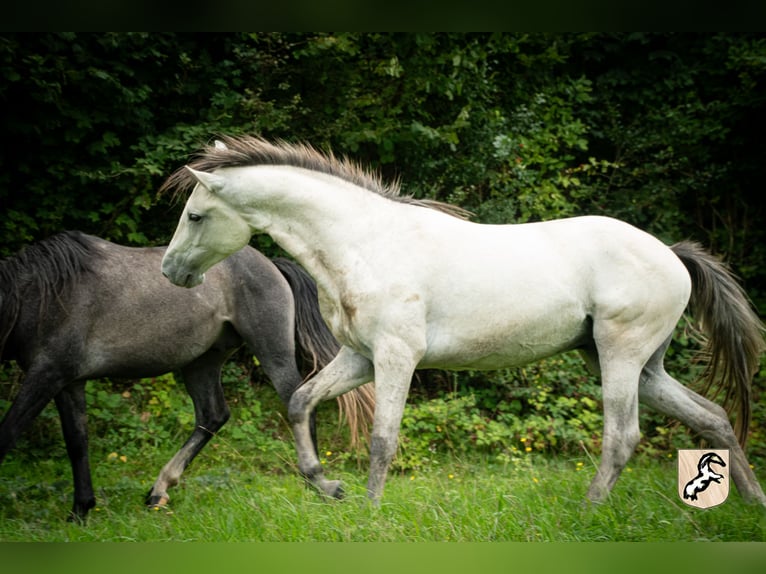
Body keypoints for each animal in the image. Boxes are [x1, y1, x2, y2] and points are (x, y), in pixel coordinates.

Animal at [0, 232, 376, 524]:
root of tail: (269, 263)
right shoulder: (68, 382)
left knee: (298, 404)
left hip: (272, 350)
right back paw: (159, 490)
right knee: (213, 415)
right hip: (201, 363)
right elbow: (77, 443)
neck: (42, 295)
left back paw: (318, 488)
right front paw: (81, 510)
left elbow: (9, 432)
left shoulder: (46, 375)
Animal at [162, 136, 766, 508]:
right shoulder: (358, 358)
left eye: (196, 215)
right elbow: (301, 404)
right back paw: (751, 502)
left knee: (623, 436)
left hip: (621, 357)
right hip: (639, 365)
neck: (366, 242)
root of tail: (670, 253)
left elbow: (383, 437)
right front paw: (327, 487)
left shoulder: (396, 358)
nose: (170, 272)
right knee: (713, 418)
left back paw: (591, 510)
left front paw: (369, 509)